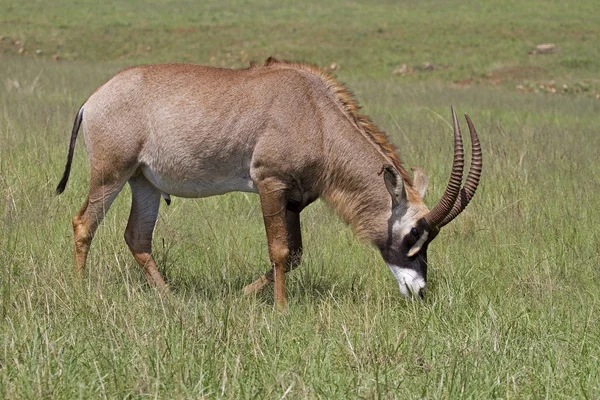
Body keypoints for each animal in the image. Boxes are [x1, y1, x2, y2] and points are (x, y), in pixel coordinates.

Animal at [57, 57, 482, 306]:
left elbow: (293, 255)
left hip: (143, 182)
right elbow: (279, 251)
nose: (419, 290)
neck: (315, 112)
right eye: (414, 232)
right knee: (83, 223)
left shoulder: (294, 198)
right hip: (111, 174)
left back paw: (171, 298)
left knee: (137, 237)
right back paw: (79, 291)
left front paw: (241, 295)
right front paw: (279, 308)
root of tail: (93, 100)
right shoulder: (270, 183)